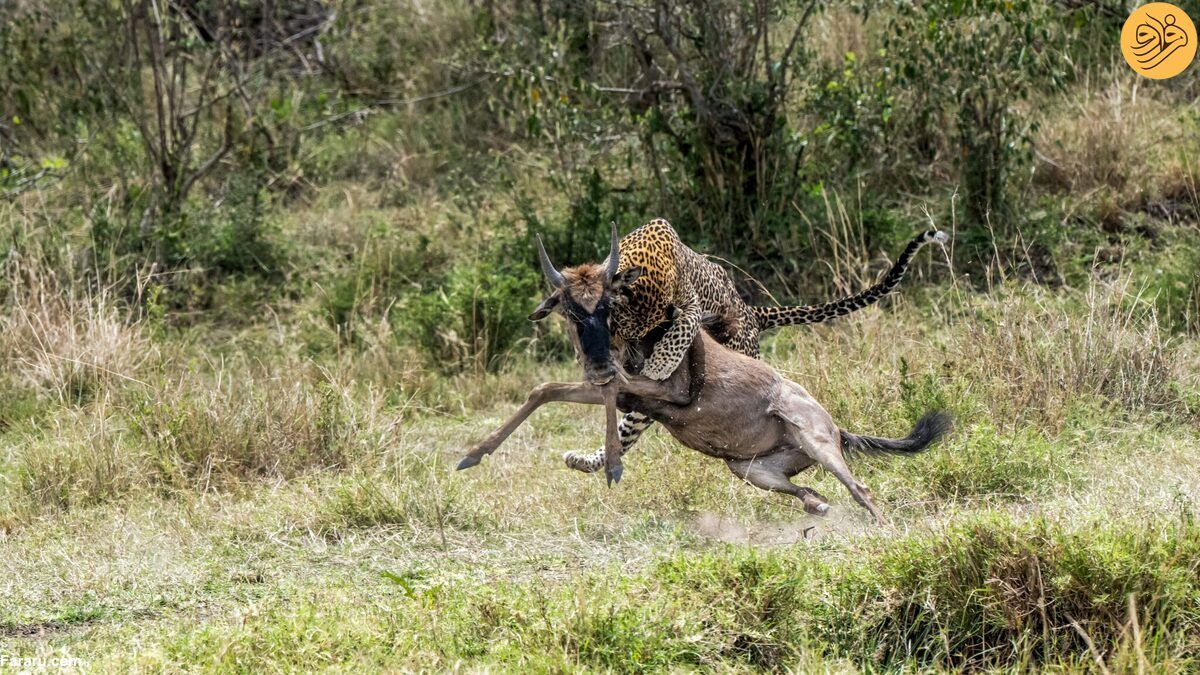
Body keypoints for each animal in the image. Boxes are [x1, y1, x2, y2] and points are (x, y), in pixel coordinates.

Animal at [561, 218, 945, 470]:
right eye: (621, 332)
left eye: (649, 331)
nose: (633, 364)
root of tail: (751, 312)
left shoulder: (688, 308)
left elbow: (680, 333)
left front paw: (660, 364)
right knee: (629, 429)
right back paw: (586, 458)